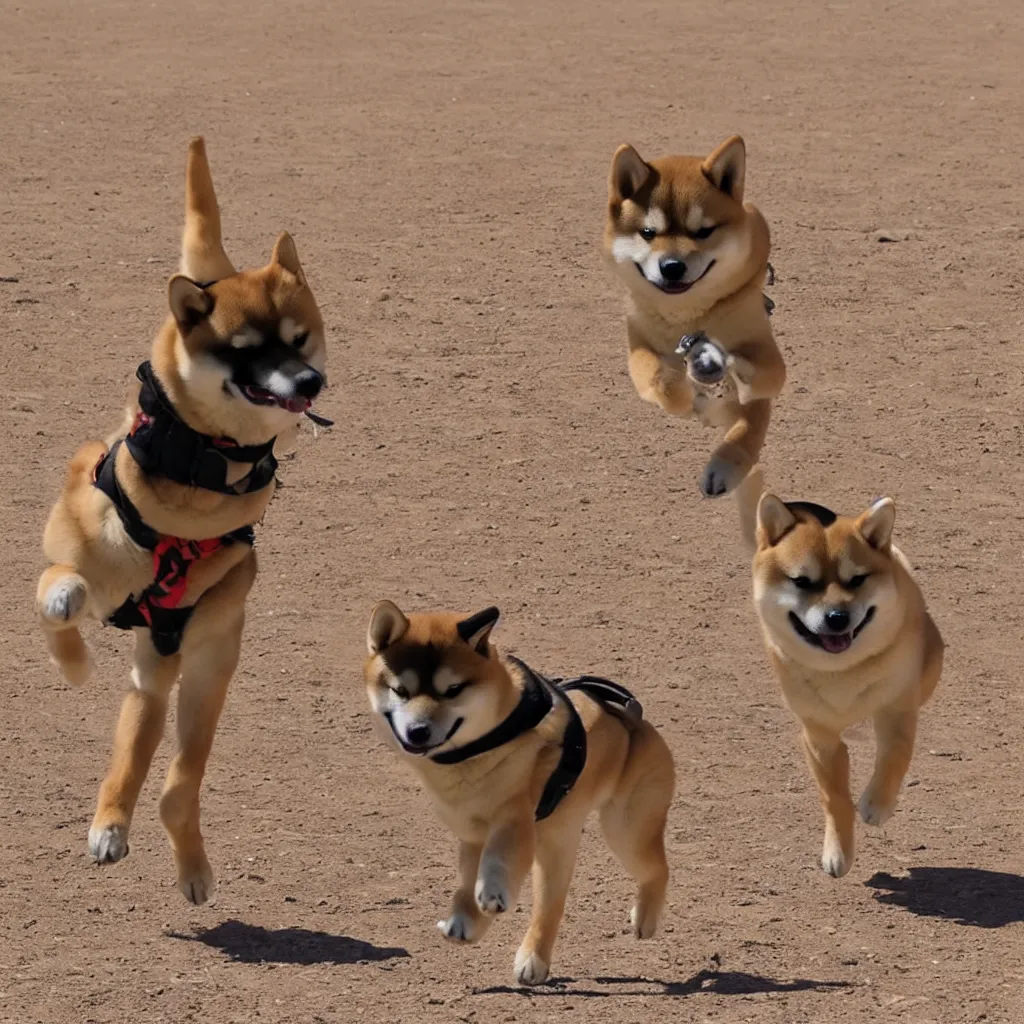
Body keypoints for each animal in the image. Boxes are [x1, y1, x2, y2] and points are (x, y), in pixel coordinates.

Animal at [37, 136, 325, 905]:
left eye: (301, 340)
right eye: (247, 348)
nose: (310, 382)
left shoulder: (165, 653)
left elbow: (138, 756)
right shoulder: (66, 539)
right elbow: (56, 597)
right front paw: (74, 648)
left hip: (200, 675)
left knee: (175, 786)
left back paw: (185, 861)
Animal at [364, 598, 675, 983]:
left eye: (453, 690)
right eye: (400, 691)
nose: (418, 731)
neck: (480, 747)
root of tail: (632, 717)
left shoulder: (515, 818)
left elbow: (497, 863)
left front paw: (492, 893)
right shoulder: (472, 835)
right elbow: (466, 885)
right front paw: (465, 923)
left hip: (626, 829)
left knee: (657, 869)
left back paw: (644, 918)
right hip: (558, 843)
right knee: (551, 905)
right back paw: (533, 959)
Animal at [598, 136, 782, 503]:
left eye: (703, 232)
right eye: (648, 232)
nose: (672, 267)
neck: (686, 315)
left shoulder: (768, 366)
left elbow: (746, 427)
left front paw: (723, 469)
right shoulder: (639, 343)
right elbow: (662, 383)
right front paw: (687, 396)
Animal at [753, 491, 942, 876]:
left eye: (857, 580)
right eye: (801, 581)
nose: (837, 617)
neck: (843, 671)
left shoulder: (896, 709)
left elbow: (895, 755)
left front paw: (877, 805)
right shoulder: (819, 737)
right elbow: (835, 797)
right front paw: (838, 852)